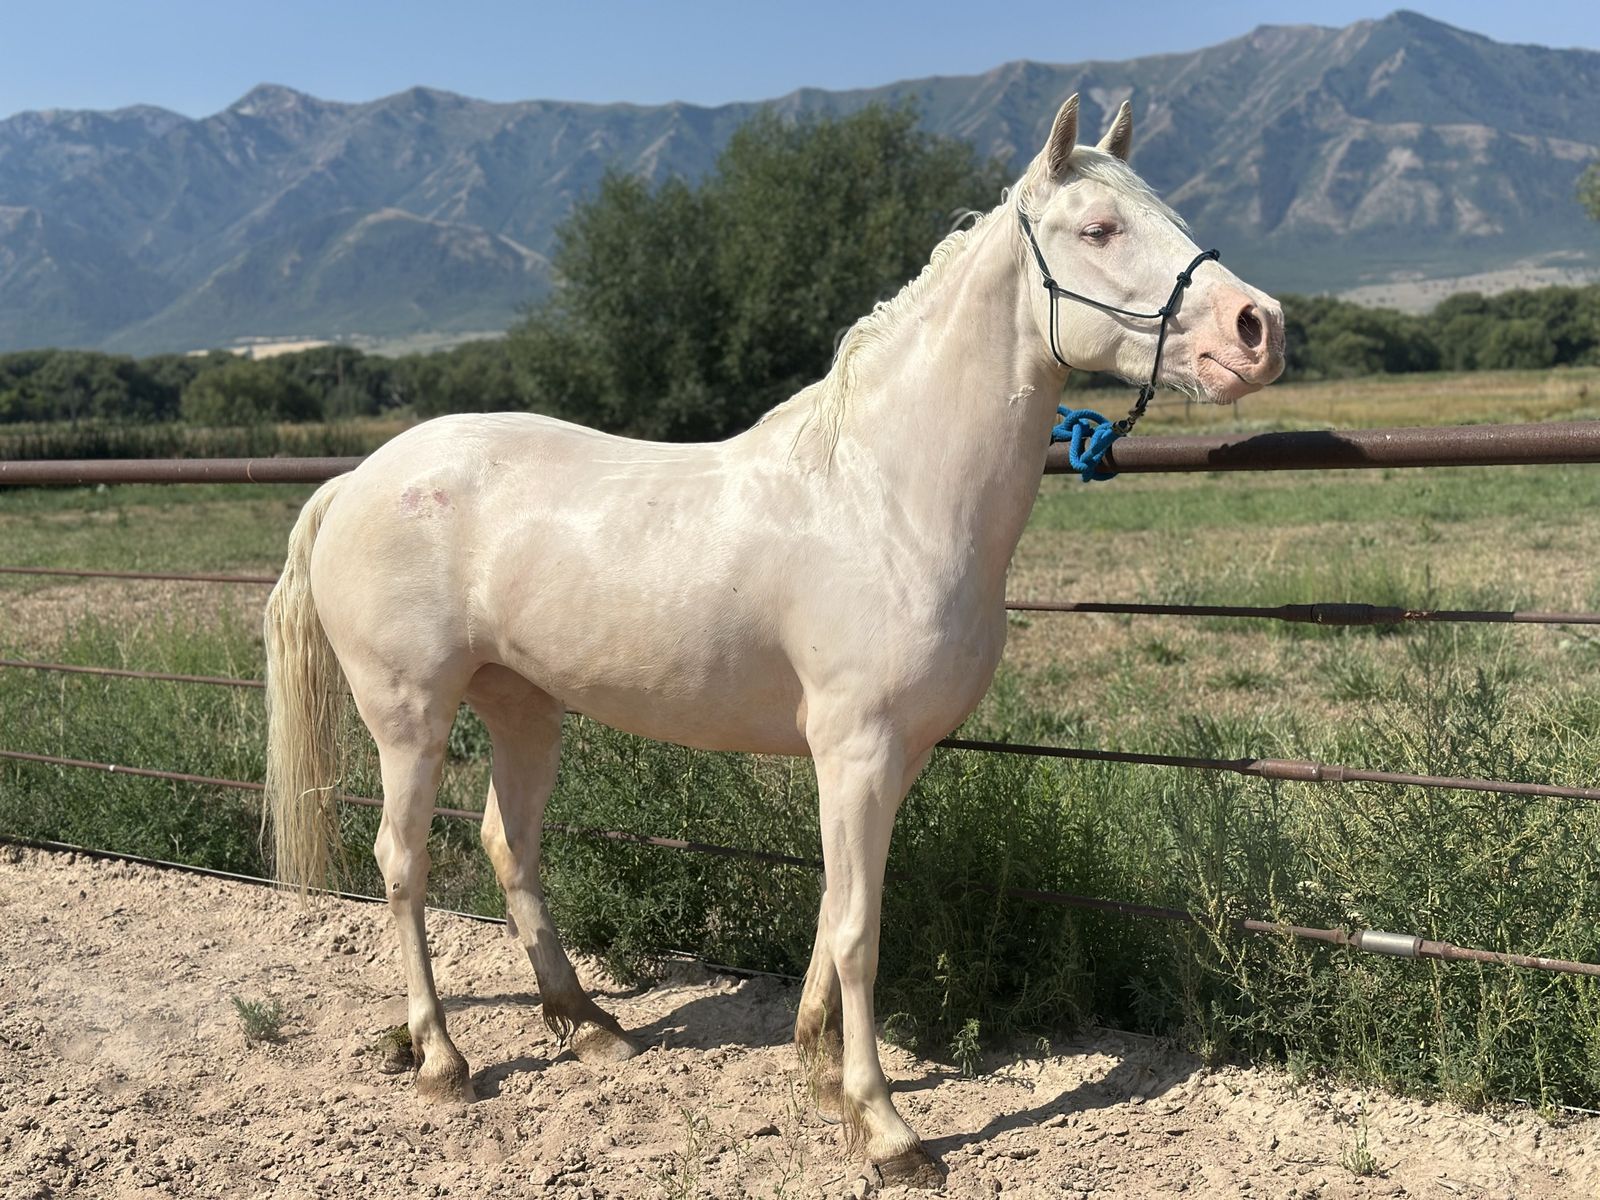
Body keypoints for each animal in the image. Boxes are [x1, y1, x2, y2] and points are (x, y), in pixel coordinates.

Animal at [263, 94, 1284, 1187]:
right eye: (1098, 228)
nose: (1259, 328)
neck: (888, 496)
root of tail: (357, 480)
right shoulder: (857, 751)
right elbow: (861, 929)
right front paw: (883, 1127)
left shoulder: (891, 758)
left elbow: (837, 906)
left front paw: (815, 1065)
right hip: (409, 716)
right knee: (402, 863)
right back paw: (442, 1058)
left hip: (523, 709)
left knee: (510, 845)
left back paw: (587, 1025)